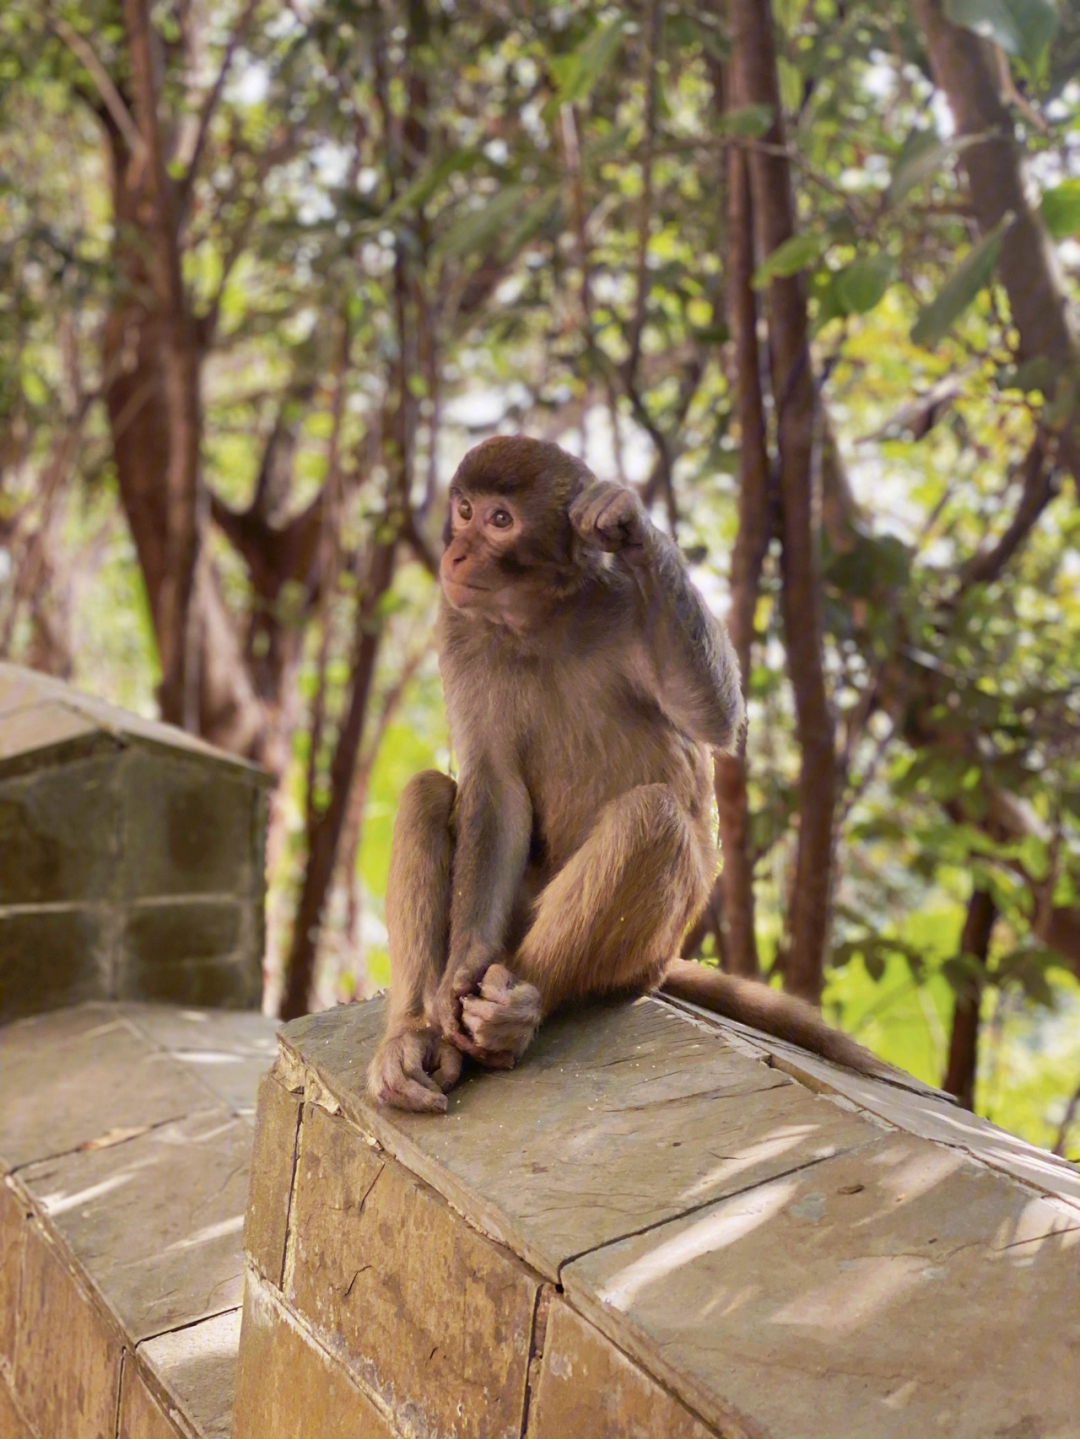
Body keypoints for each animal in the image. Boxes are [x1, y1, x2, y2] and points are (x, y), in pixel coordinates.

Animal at [368, 437, 891, 1110]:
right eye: (463, 510)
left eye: (500, 520)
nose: (455, 552)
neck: (541, 616)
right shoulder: (457, 621)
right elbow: (495, 786)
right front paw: (461, 964)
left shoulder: (633, 602)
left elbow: (712, 715)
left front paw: (629, 521)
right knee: (430, 791)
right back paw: (415, 1035)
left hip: (645, 956)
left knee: (653, 816)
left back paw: (514, 1014)